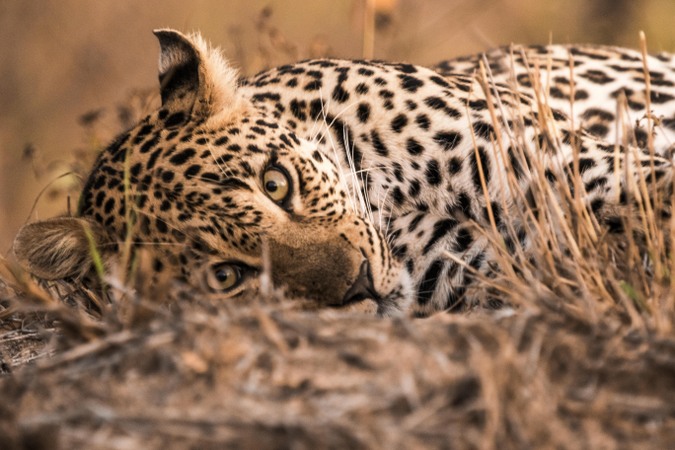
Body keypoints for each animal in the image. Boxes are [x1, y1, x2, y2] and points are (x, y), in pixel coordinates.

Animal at [11, 29, 675, 316]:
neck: (392, 197)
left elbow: (656, 191)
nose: (357, 285)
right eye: (224, 277)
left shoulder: (569, 166)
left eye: (276, 182)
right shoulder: (493, 268)